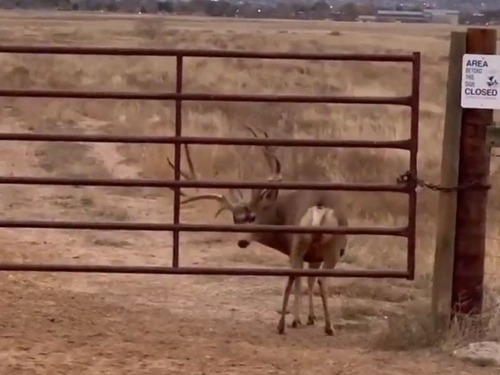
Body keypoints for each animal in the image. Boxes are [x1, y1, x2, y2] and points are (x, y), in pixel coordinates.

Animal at [168, 127, 348, 338]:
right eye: (235, 220)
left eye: (252, 217)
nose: (241, 242)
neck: (282, 212)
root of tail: (319, 208)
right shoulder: (307, 253)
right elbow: (306, 280)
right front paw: (306, 318)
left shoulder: (306, 253)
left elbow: (306, 280)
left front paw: (307, 318)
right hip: (321, 246)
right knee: (311, 279)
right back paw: (316, 325)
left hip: (312, 245)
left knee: (303, 278)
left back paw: (299, 324)